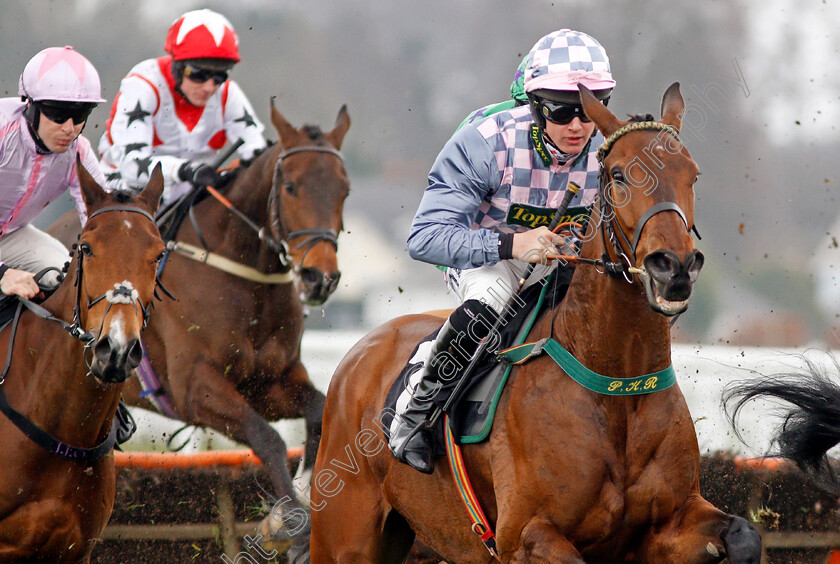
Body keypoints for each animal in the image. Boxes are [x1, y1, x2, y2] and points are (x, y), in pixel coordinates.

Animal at [51, 102, 352, 556]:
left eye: (344, 190)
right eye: (291, 187)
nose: (321, 278)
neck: (243, 279)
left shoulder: (266, 382)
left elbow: (317, 412)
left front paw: (299, 498)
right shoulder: (195, 388)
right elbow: (266, 438)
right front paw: (289, 528)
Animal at [308, 85, 760, 564]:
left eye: (692, 174)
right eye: (618, 174)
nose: (673, 267)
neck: (615, 386)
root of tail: (357, 354)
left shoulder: (670, 522)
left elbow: (744, 534)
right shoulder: (523, 533)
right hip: (343, 536)